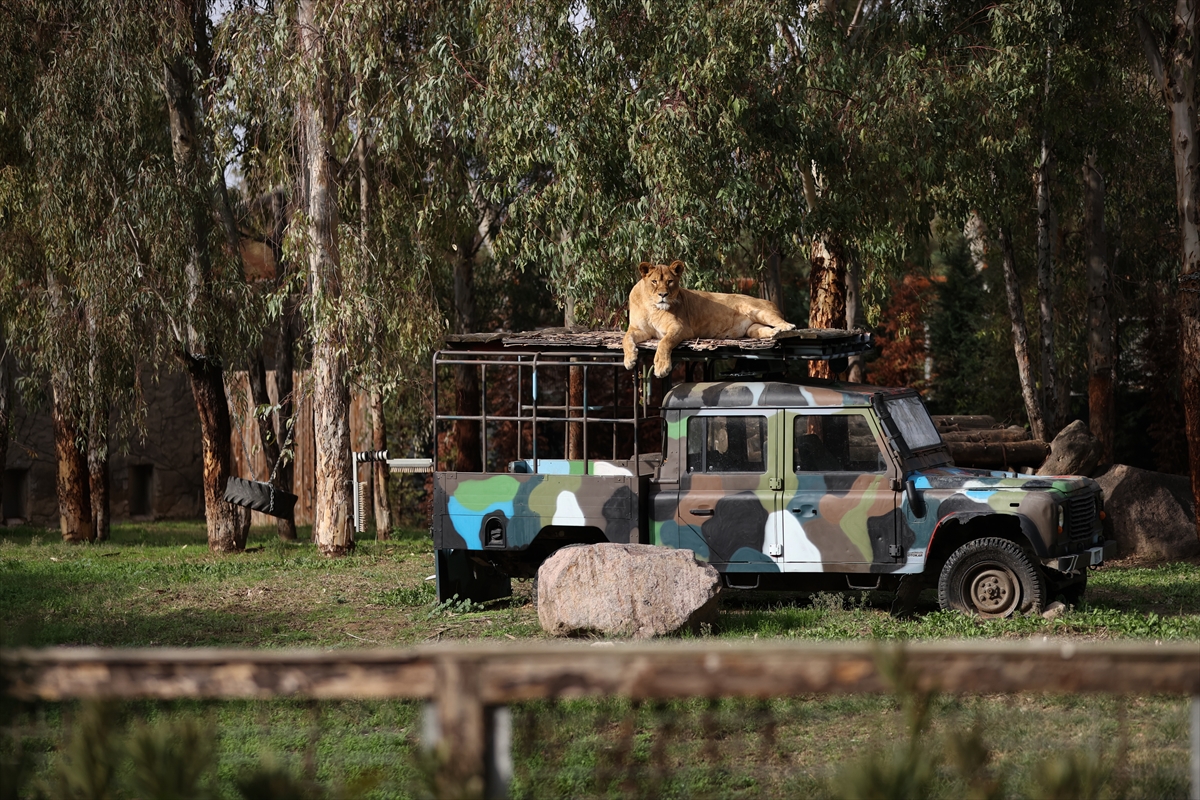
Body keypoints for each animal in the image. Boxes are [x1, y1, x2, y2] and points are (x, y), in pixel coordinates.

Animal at [619, 260, 796, 379]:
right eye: (654, 281)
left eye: (670, 281)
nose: (663, 295)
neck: (652, 307)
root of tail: (770, 302)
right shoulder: (639, 330)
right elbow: (625, 338)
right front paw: (629, 360)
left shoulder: (681, 327)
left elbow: (664, 343)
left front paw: (661, 367)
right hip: (753, 329)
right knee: (764, 330)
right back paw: (775, 332)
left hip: (758, 310)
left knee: (780, 320)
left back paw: (788, 328)